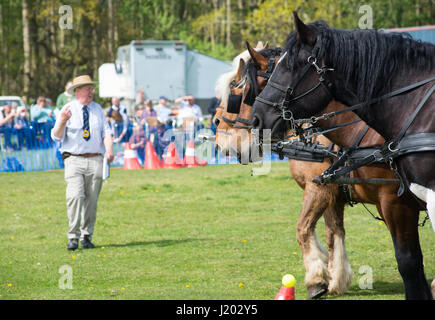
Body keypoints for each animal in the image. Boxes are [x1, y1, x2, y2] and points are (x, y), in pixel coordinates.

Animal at [215, 43, 432, 300]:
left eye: (239, 91)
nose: (222, 141)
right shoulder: (333, 191)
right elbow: (334, 232)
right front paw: (335, 277)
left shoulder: (335, 191)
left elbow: (303, 229)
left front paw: (316, 280)